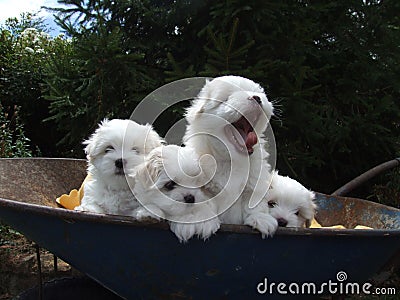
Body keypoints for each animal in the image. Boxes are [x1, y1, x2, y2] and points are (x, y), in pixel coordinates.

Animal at [184, 75, 278, 237]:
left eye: (257, 92)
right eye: (226, 99)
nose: (257, 98)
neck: (231, 159)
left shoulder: (253, 183)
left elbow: (254, 203)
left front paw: (260, 219)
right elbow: (201, 202)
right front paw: (202, 221)